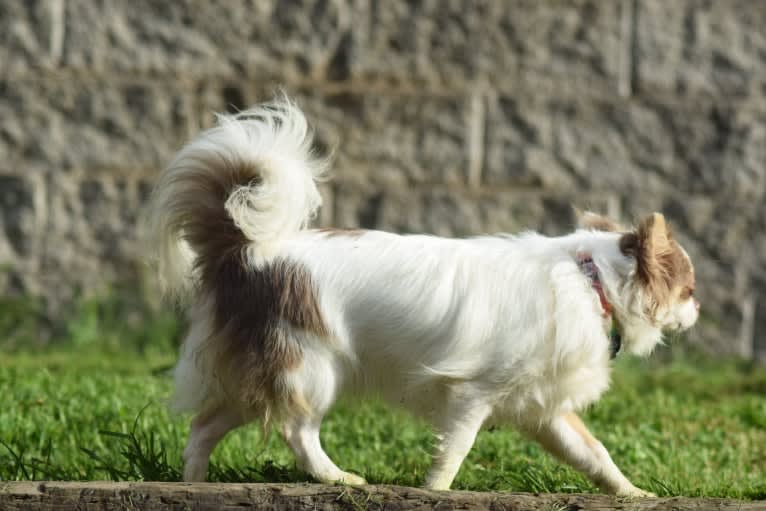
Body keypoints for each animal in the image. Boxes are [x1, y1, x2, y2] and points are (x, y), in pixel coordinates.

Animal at [146, 96, 704, 496]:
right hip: (310, 365)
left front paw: (634, 494)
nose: (699, 308)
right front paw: (435, 491)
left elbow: (595, 454)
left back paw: (193, 484)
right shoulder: (472, 394)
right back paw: (338, 477)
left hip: (262, 373)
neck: (591, 280)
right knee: (297, 431)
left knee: (206, 424)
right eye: (690, 289)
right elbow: (455, 450)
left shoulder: (545, 408)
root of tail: (247, 249)